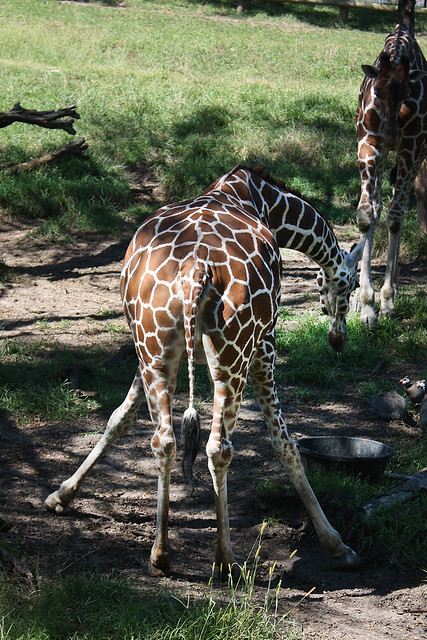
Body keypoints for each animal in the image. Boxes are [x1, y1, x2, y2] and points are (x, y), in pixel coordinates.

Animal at [45, 165, 364, 576]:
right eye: (351, 285)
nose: (339, 340)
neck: (262, 199)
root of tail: (195, 269)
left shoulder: (149, 354)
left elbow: (119, 417)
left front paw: (61, 494)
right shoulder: (265, 343)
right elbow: (285, 443)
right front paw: (337, 545)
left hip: (155, 346)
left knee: (164, 440)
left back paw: (161, 554)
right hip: (232, 351)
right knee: (218, 447)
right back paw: (226, 560)